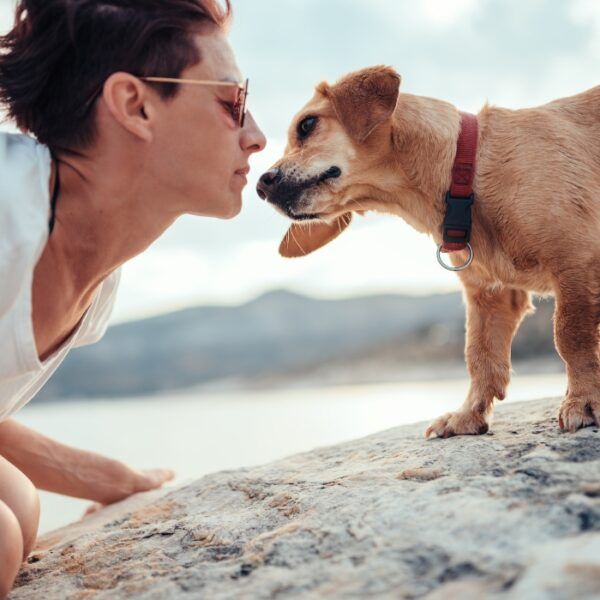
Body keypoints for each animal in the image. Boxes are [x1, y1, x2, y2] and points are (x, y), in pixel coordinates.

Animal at [256, 65, 600, 438]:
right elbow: (480, 356)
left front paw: (582, 401)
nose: (260, 185)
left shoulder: (575, 265)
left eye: (307, 125)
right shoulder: (490, 296)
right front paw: (467, 415)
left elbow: (570, 337)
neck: (467, 172)